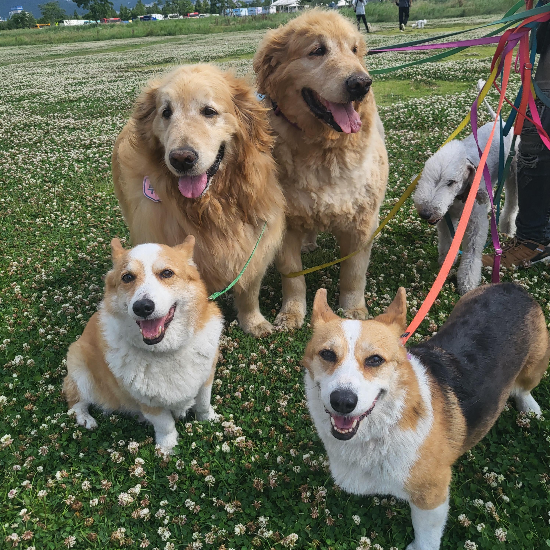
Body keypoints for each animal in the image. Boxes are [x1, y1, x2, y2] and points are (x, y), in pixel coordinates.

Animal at [63, 237, 223, 453]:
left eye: (167, 273)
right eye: (127, 277)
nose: (142, 307)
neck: (166, 351)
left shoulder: (206, 379)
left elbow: (203, 405)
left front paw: (210, 420)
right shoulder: (147, 401)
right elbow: (165, 425)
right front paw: (167, 448)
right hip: (81, 371)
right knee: (75, 401)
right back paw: (86, 419)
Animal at [112, 64, 285, 337]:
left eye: (209, 111)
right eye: (166, 112)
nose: (181, 159)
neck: (211, 207)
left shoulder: (256, 243)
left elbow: (249, 290)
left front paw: (254, 322)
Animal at [253, 9, 388, 330]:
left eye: (354, 50)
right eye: (317, 50)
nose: (361, 84)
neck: (324, 149)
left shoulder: (362, 222)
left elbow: (353, 273)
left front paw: (353, 310)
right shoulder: (286, 225)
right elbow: (293, 277)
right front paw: (291, 313)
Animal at [303, 284, 549, 550]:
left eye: (375, 360)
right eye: (327, 354)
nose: (342, 401)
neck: (386, 424)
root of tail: (510, 286)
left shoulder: (431, 494)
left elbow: (426, 535)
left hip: (535, 366)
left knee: (524, 388)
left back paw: (530, 409)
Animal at [413, 81, 518, 294]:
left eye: (451, 182)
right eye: (426, 176)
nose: (425, 213)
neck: (460, 198)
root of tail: (500, 122)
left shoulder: (476, 223)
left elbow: (472, 253)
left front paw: (467, 283)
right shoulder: (446, 218)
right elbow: (447, 242)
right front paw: (446, 260)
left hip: (512, 171)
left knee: (512, 200)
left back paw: (507, 227)